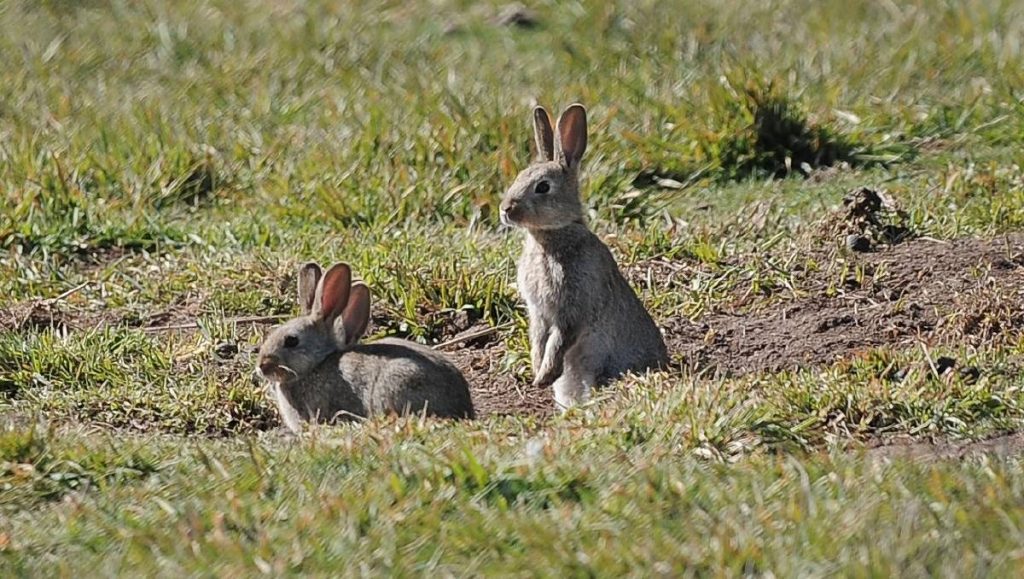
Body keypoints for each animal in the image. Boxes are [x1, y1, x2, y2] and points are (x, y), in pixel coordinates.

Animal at [499, 103, 669, 410]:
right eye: (519, 176)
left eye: (543, 187)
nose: (506, 209)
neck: (550, 238)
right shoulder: (538, 312)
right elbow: (538, 339)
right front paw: (537, 372)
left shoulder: (573, 307)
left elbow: (559, 340)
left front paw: (543, 376)